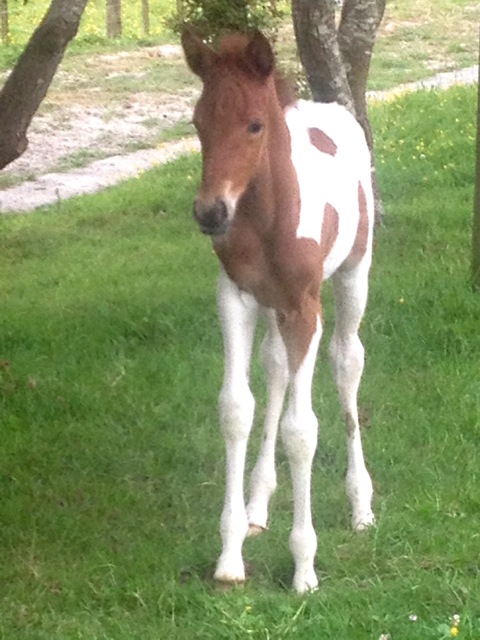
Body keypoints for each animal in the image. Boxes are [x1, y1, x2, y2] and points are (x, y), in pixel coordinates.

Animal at [182, 27, 374, 592]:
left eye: (254, 124)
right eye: (197, 123)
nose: (210, 213)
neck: (269, 214)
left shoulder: (305, 306)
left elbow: (301, 430)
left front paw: (304, 567)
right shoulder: (236, 298)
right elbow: (236, 409)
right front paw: (230, 557)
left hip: (353, 275)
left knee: (347, 362)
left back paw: (362, 506)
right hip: (273, 308)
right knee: (274, 369)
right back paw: (256, 506)